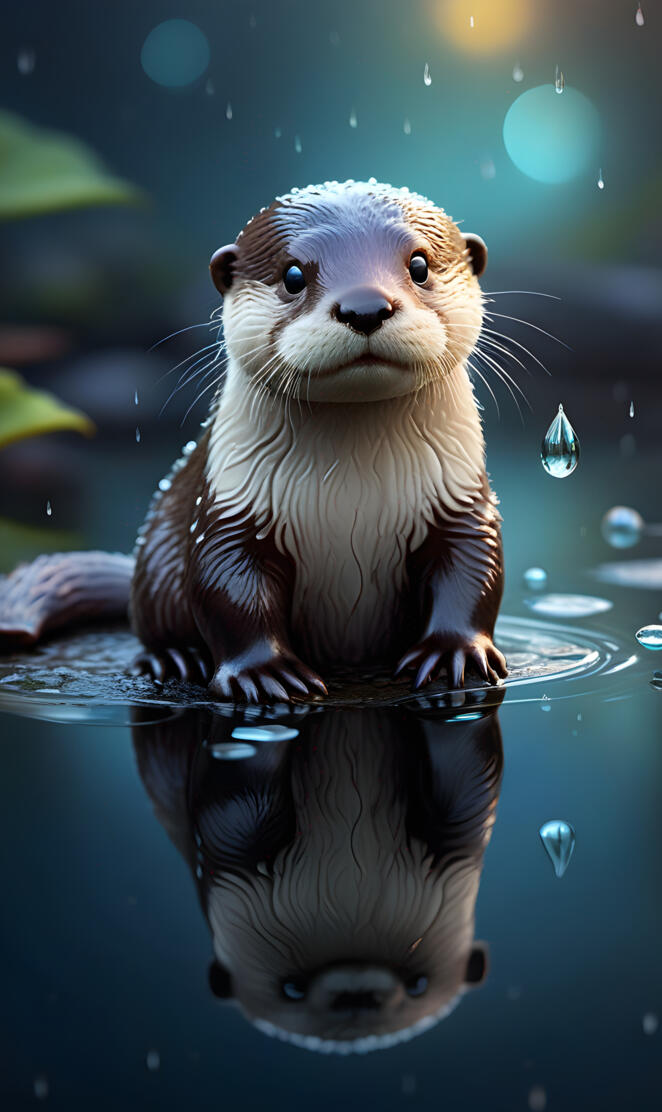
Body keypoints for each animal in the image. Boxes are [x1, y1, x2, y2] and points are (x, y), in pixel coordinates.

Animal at [0, 180, 506, 703]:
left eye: (419, 265)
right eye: (293, 275)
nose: (365, 306)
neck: (351, 493)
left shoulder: (459, 500)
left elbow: (472, 570)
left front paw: (453, 652)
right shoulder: (232, 508)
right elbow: (229, 587)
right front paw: (264, 672)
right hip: (158, 558)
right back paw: (174, 658)